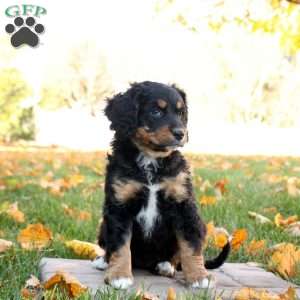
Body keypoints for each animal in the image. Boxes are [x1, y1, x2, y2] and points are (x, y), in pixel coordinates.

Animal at [92, 81, 231, 290]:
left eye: (181, 113)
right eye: (156, 112)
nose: (181, 133)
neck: (151, 161)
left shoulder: (183, 205)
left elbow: (190, 245)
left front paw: (199, 276)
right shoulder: (119, 205)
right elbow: (120, 244)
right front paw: (119, 275)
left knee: (176, 255)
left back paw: (166, 266)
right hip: (103, 225)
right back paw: (103, 261)